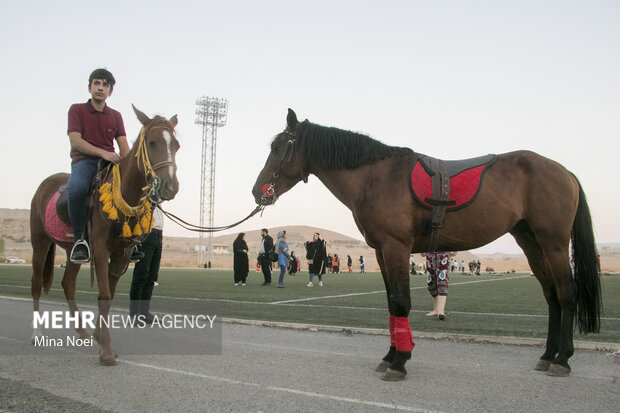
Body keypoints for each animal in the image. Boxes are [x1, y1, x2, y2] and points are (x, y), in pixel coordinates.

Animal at [30, 106, 179, 364]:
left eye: (177, 145)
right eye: (151, 142)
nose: (170, 186)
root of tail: (44, 185)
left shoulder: (121, 254)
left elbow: (109, 295)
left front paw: (100, 337)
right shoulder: (101, 249)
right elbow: (104, 294)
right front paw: (107, 351)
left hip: (73, 250)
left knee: (68, 283)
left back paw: (81, 331)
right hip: (40, 243)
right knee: (37, 283)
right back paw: (37, 333)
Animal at [252, 108, 600, 380]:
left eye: (278, 146)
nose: (258, 191)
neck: (375, 177)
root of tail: (563, 171)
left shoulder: (396, 247)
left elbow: (400, 302)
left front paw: (400, 362)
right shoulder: (382, 250)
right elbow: (392, 303)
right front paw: (391, 355)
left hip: (554, 243)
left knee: (566, 293)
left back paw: (562, 358)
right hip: (532, 244)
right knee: (552, 296)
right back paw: (548, 355)